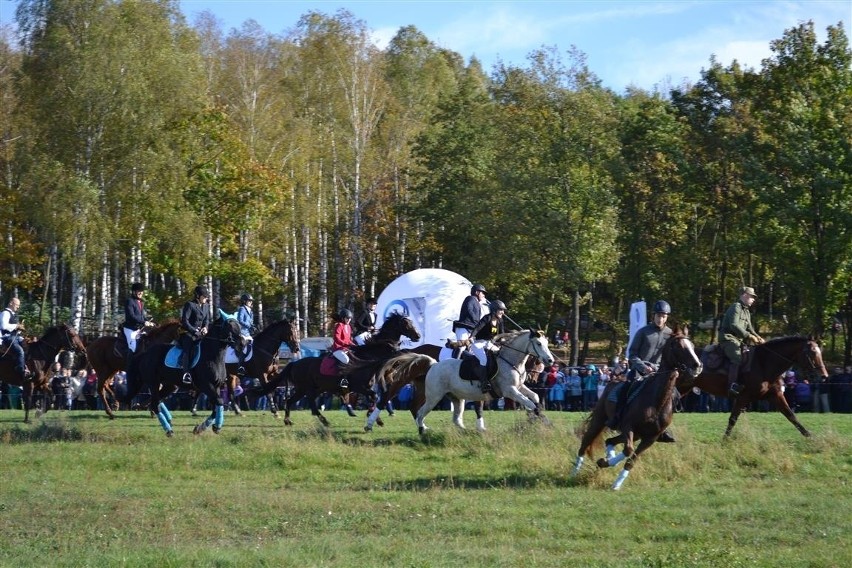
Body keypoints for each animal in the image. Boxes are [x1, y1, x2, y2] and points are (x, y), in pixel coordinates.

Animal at [258, 312, 422, 428]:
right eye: (406, 323)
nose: (418, 336)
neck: (370, 356)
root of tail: (294, 364)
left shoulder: (367, 386)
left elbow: (374, 398)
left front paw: (375, 418)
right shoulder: (359, 387)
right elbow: (374, 397)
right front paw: (374, 418)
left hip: (315, 388)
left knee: (296, 401)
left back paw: (290, 421)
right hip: (305, 388)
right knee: (303, 403)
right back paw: (320, 421)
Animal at [412, 328, 552, 434]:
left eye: (546, 343)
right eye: (539, 343)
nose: (550, 360)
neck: (511, 361)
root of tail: (434, 365)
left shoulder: (519, 387)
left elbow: (535, 397)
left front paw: (532, 416)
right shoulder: (509, 390)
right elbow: (530, 403)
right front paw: (543, 420)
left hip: (457, 399)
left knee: (456, 420)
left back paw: (468, 432)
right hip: (434, 397)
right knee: (420, 413)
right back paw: (422, 430)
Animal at [568, 326, 704, 490]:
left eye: (692, 346)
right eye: (678, 346)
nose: (697, 366)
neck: (656, 402)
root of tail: (613, 380)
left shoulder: (650, 438)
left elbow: (632, 459)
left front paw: (615, 482)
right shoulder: (629, 427)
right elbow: (629, 450)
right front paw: (606, 463)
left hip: (636, 434)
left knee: (610, 441)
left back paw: (607, 458)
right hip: (599, 421)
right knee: (585, 444)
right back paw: (574, 472)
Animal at [684, 336, 828, 438]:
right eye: (811, 353)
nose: (824, 376)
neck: (764, 363)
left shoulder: (775, 395)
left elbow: (791, 416)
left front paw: (810, 437)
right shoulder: (742, 397)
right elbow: (732, 419)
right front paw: (724, 441)